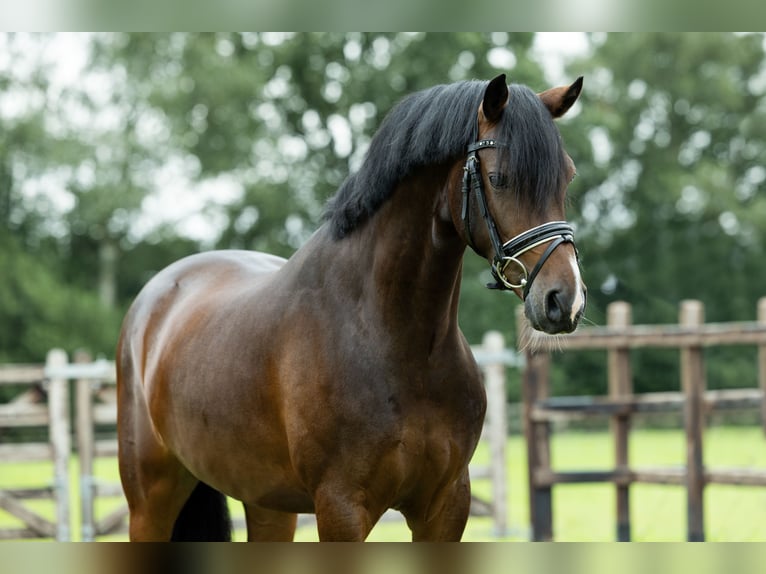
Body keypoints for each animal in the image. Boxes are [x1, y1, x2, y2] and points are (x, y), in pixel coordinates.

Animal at [117, 74, 588, 544]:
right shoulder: (340, 507)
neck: (395, 342)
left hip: (267, 502)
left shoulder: (446, 505)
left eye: (567, 177)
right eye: (498, 177)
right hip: (151, 501)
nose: (564, 300)